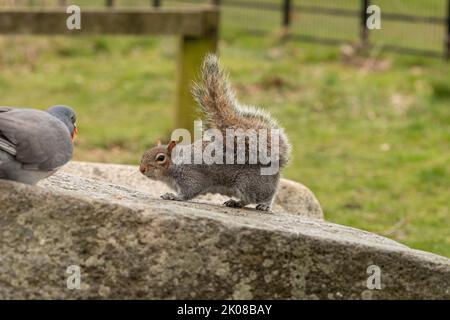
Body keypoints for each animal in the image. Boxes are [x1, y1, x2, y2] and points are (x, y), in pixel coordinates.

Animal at [139, 53, 290, 211]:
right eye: (144, 153)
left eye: (161, 158)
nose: (142, 169)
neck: (176, 164)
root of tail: (275, 163)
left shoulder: (191, 176)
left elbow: (188, 192)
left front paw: (173, 196)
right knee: (248, 199)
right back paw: (235, 202)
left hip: (250, 184)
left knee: (265, 195)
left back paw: (264, 205)